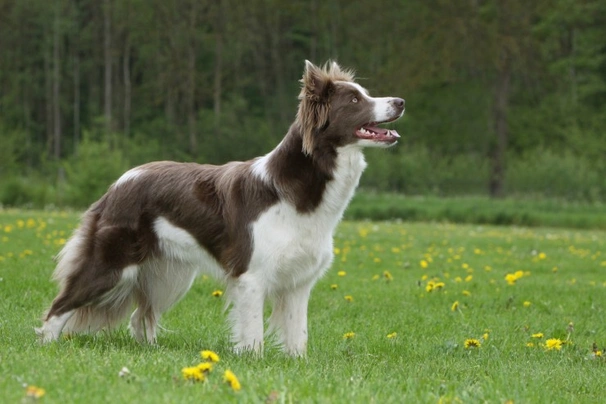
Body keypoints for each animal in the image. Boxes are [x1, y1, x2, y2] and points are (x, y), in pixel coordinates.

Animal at [39, 60, 408, 356]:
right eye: (355, 100)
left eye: (365, 94)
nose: (401, 101)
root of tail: (119, 182)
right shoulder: (252, 275)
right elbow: (254, 332)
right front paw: (254, 361)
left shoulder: (299, 281)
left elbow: (297, 333)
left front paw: (296, 363)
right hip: (112, 264)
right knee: (59, 306)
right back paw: (46, 344)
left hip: (169, 275)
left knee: (138, 316)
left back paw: (152, 353)